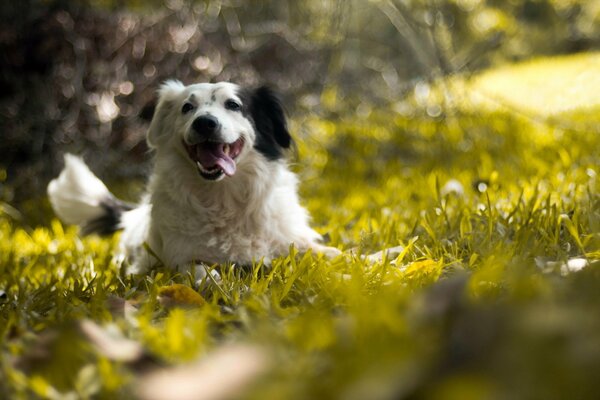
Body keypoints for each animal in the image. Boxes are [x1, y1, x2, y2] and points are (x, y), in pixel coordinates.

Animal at [48, 80, 340, 272]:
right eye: (187, 107)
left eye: (233, 105)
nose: (205, 123)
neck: (223, 197)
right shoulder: (180, 261)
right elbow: (202, 272)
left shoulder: (291, 241)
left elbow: (329, 252)